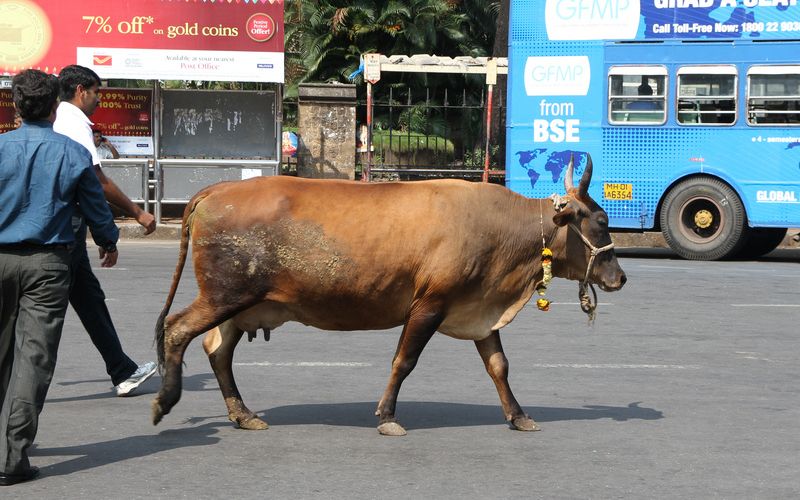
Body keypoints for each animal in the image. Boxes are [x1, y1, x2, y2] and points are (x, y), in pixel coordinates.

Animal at [152, 154, 626, 436]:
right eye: (602, 222)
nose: (620, 278)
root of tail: (215, 189)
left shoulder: (478, 309)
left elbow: (498, 366)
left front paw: (519, 415)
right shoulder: (429, 305)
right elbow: (404, 361)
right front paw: (387, 416)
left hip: (239, 303)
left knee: (217, 350)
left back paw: (242, 414)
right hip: (224, 295)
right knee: (176, 330)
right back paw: (165, 400)